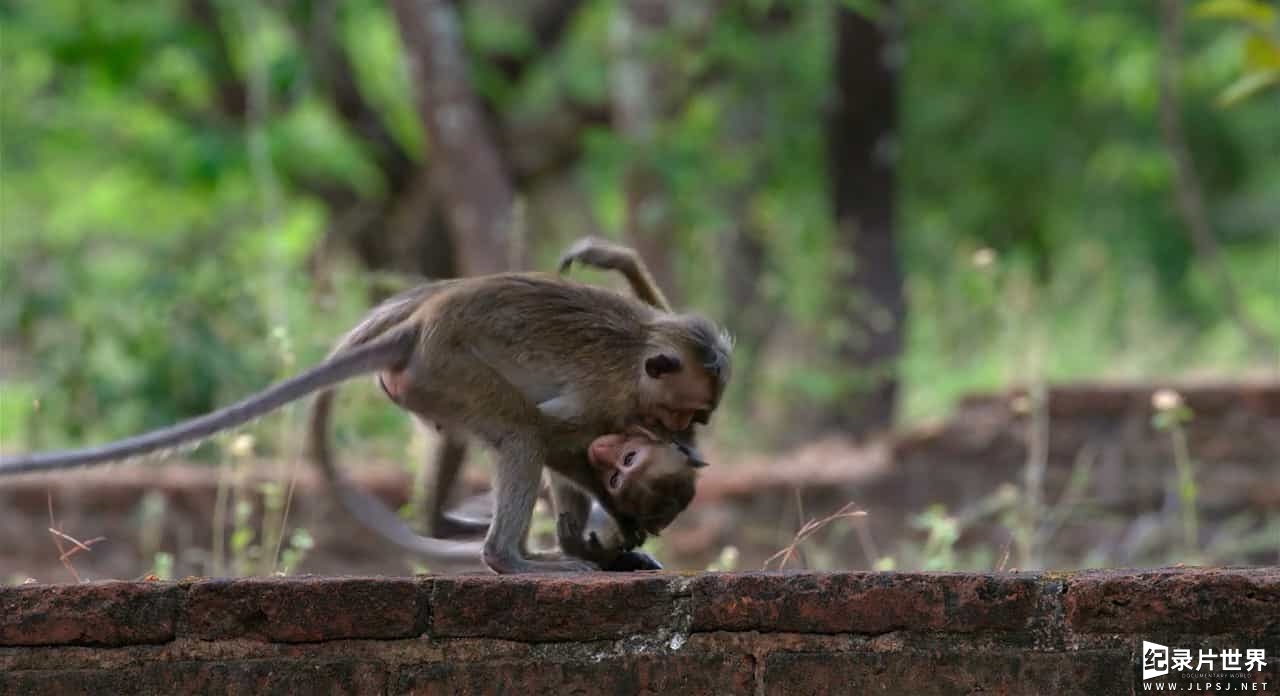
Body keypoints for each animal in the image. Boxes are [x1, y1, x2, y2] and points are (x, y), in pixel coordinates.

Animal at [0, 246, 732, 573]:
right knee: (521, 434)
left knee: (478, 431)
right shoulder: (605, 406)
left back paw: (462, 526)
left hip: (432, 381)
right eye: (681, 417)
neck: (637, 363)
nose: (684, 433)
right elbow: (554, 444)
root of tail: (417, 327)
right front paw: (602, 536)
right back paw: (510, 557)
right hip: (450, 364)